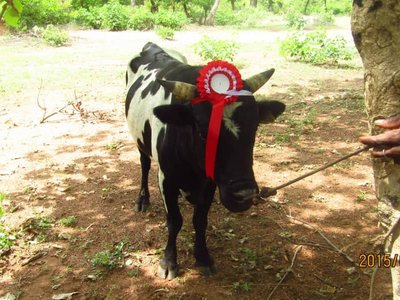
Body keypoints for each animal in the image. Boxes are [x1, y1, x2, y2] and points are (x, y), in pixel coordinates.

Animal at [125, 42, 284, 278]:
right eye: (202, 130)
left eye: (255, 126)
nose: (244, 194)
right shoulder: (167, 178)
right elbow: (174, 220)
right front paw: (168, 261)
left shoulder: (209, 182)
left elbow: (200, 220)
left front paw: (203, 257)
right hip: (140, 140)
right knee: (144, 164)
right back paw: (142, 199)